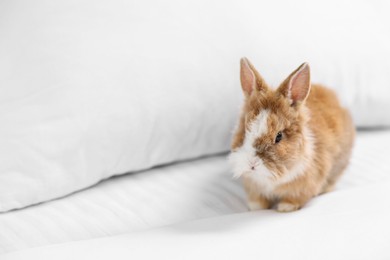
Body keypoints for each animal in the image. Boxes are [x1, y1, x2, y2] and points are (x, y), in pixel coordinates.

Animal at [230, 58, 354, 212]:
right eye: (245, 130)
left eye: (279, 136)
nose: (252, 164)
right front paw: (256, 207)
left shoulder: (306, 185)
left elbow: (295, 197)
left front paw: (285, 207)